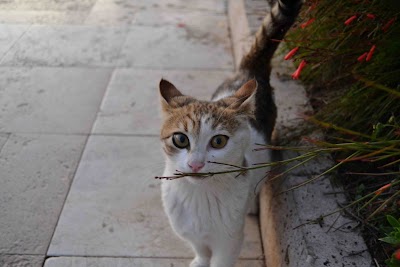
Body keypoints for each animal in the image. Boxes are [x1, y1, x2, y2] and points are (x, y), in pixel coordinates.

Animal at [158, 0, 302, 267]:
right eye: (180, 139)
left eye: (218, 141)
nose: (195, 164)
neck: (199, 196)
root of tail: (248, 73)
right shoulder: (187, 229)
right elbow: (201, 249)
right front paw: (199, 261)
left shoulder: (230, 239)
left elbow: (220, 258)